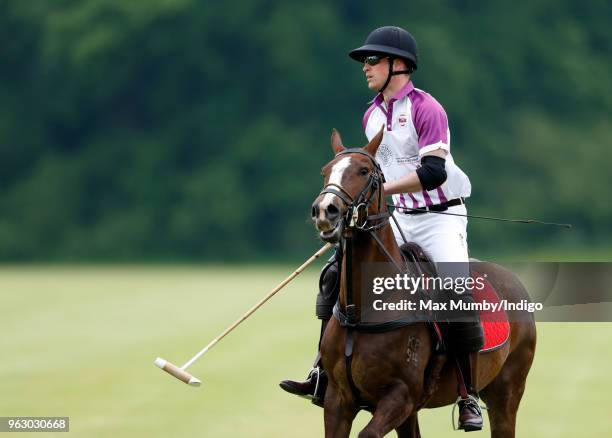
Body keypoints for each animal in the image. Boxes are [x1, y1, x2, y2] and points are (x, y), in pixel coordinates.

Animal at [310, 128, 536, 436]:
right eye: (325, 171)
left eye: (364, 170)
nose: (325, 211)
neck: (364, 311)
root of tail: (513, 278)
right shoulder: (338, 399)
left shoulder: (401, 394)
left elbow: (368, 432)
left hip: (508, 390)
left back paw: (470, 408)